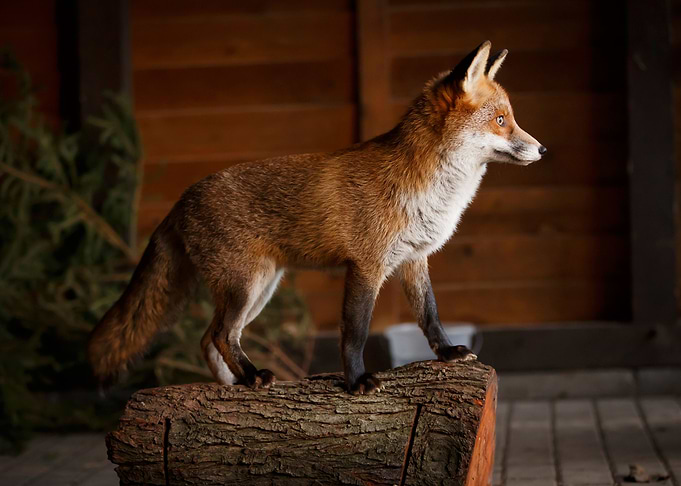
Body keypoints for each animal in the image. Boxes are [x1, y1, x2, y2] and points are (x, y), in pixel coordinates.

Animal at [88, 41, 545, 395]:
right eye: (501, 121)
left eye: (512, 118)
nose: (542, 150)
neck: (429, 191)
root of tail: (181, 199)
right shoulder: (365, 266)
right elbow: (355, 334)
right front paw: (357, 381)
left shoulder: (415, 259)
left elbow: (430, 315)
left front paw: (448, 353)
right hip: (245, 286)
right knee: (219, 334)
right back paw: (251, 377)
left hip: (260, 289)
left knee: (209, 338)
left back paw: (234, 385)